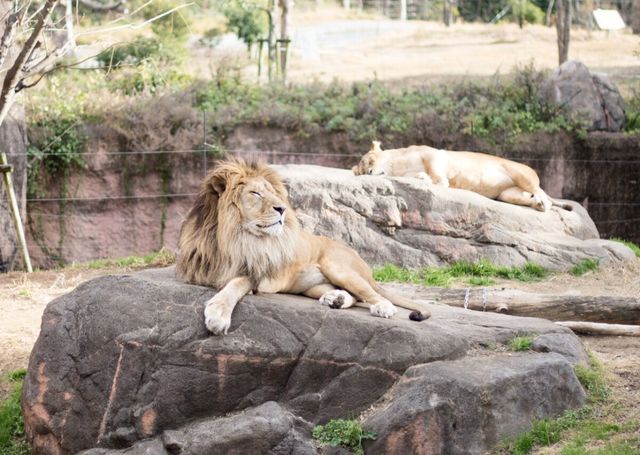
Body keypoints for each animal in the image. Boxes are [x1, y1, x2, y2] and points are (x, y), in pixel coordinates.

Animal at [178, 159, 432, 336]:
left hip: (337, 266)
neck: (230, 237)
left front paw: (218, 315)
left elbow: (235, 284)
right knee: (354, 297)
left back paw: (382, 308)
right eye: (255, 193)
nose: (282, 209)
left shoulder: (256, 275)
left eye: (272, 193)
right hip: (313, 286)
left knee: (372, 295)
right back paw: (335, 299)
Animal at [352, 142, 572, 213]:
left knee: (538, 190)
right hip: (508, 194)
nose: (369, 173)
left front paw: (439, 181)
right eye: (362, 170)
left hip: (519, 171)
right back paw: (537, 204)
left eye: (370, 160)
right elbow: (423, 175)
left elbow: (437, 173)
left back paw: (542, 202)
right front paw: (423, 178)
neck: (397, 167)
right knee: (526, 197)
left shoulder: (432, 154)